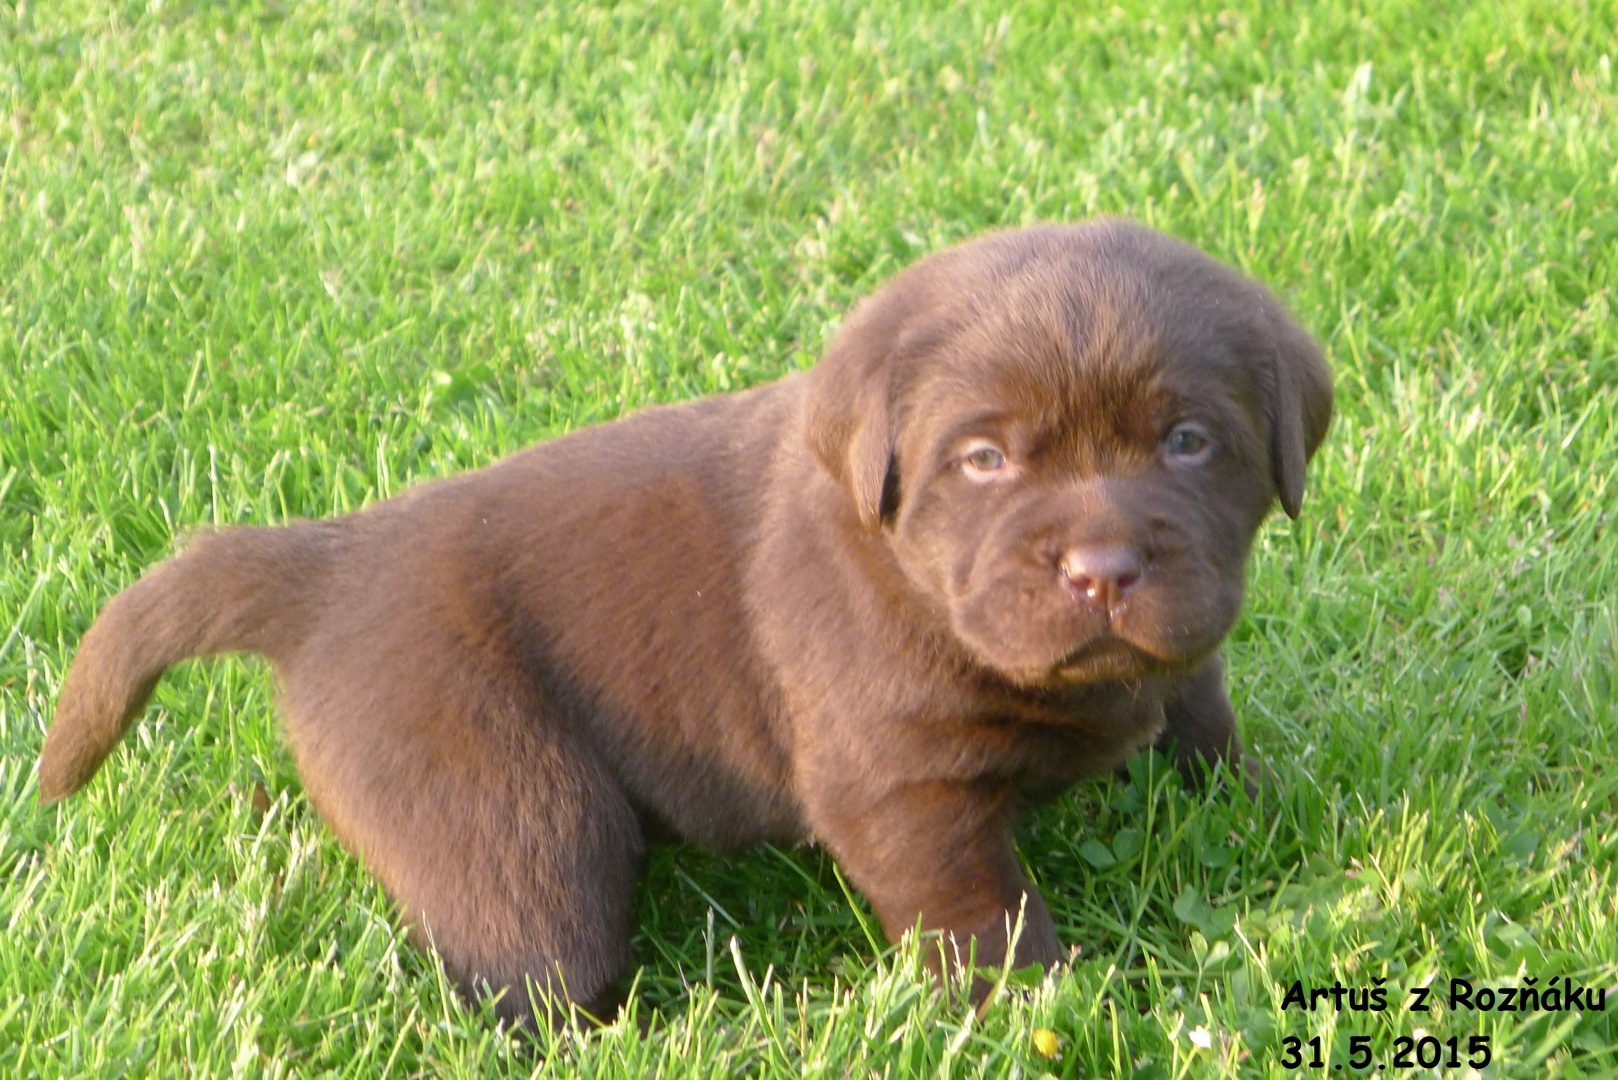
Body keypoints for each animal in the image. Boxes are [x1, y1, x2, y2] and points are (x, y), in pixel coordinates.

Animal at [38, 219, 1332, 1026]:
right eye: (984, 460)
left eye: (1187, 441)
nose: (1102, 570)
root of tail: (328, 562)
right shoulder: (900, 784)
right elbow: (977, 907)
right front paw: (1029, 1002)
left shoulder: (1180, 658)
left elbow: (1200, 721)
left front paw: (1266, 812)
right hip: (515, 805)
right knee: (524, 963)